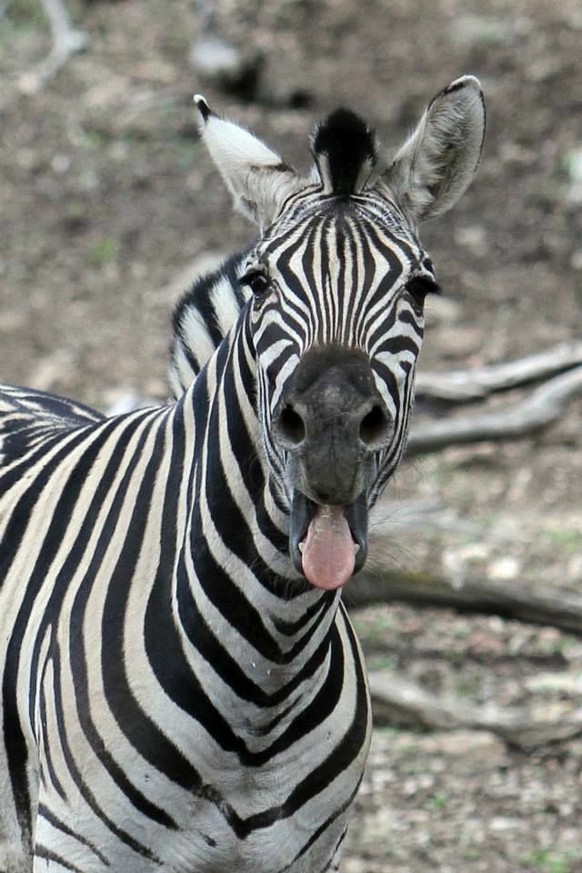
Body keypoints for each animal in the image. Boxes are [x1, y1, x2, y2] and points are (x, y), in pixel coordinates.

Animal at [0, 76, 486, 872]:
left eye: (420, 289)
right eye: (259, 282)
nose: (330, 429)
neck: (266, 675)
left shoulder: (307, 856)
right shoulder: (75, 847)